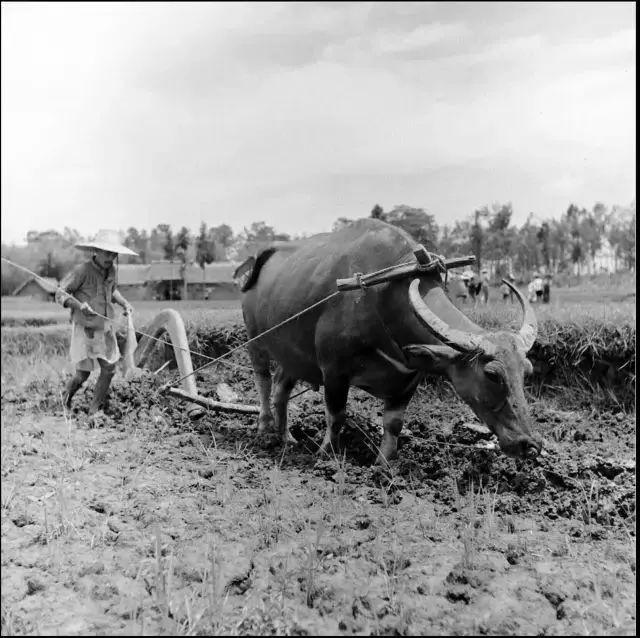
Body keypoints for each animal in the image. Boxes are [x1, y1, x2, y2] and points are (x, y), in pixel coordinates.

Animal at [240, 220, 540, 464]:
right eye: (492, 375)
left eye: (526, 371)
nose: (528, 444)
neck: (383, 297)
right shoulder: (333, 371)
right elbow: (336, 415)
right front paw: (326, 454)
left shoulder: (409, 377)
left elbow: (394, 423)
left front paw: (384, 464)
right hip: (255, 340)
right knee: (263, 381)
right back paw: (264, 428)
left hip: (292, 355)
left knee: (281, 388)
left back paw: (287, 438)